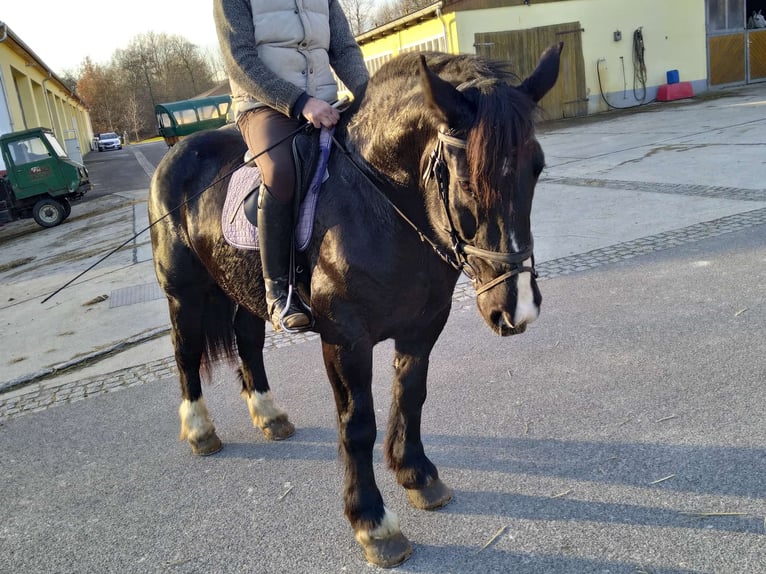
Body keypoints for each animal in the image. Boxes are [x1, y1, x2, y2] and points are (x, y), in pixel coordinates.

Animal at [148, 42, 564, 568]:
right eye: (468, 180)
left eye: (537, 167)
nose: (518, 309)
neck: (379, 201)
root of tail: (176, 154)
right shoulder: (345, 340)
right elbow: (358, 425)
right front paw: (373, 522)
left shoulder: (424, 324)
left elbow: (410, 396)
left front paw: (418, 476)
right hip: (182, 294)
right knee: (186, 354)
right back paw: (200, 431)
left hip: (239, 290)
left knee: (248, 344)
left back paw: (270, 416)